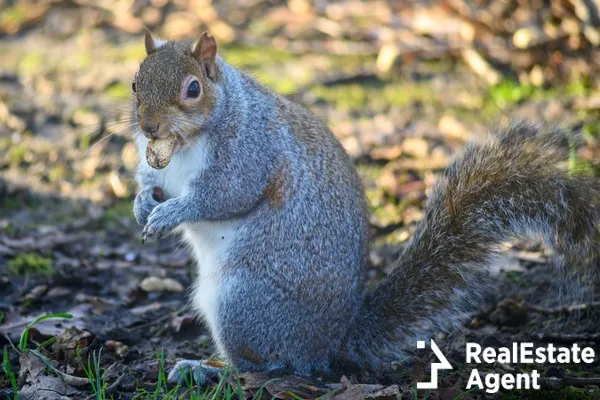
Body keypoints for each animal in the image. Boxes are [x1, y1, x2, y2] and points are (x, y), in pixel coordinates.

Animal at [132, 30, 600, 382]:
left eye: (193, 89)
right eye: (136, 83)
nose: (149, 126)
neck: (185, 142)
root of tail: (329, 343)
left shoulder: (251, 150)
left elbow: (226, 193)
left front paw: (171, 213)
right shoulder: (160, 166)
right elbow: (153, 183)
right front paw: (142, 204)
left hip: (243, 301)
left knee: (268, 365)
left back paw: (211, 368)